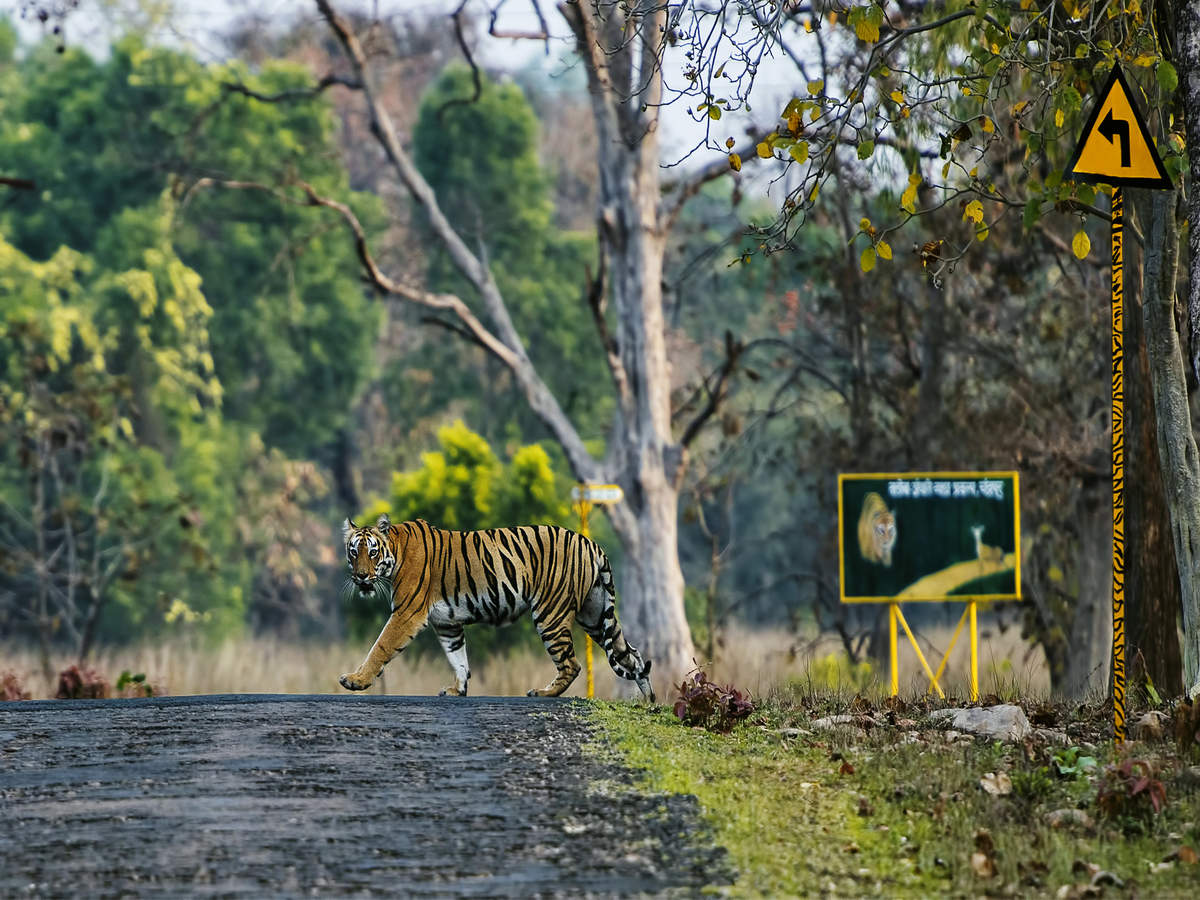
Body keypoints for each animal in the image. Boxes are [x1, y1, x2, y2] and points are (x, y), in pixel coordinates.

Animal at [338, 513, 657, 705]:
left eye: (372, 552)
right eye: (353, 553)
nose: (361, 576)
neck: (395, 552)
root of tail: (590, 543)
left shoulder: (407, 613)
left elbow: (380, 647)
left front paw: (355, 680)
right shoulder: (447, 623)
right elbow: (459, 658)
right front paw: (457, 690)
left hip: (550, 614)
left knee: (572, 664)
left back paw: (542, 692)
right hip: (595, 615)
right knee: (631, 654)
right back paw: (649, 700)